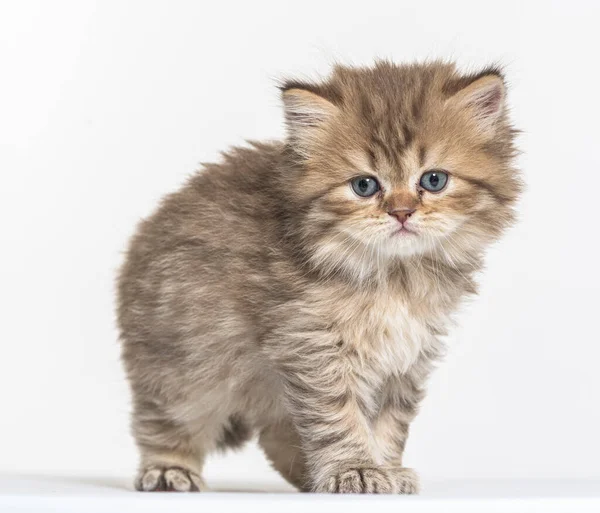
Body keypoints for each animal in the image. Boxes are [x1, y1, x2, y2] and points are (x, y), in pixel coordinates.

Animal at [116, 59, 520, 492]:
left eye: (434, 180)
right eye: (364, 185)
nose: (401, 212)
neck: (394, 276)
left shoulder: (407, 354)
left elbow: (389, 422)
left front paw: (385, 469)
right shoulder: (310, 344)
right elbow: (339, 416)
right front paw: (355, 469)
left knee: (273, 434)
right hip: (184, 362)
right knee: (166, 419)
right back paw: (169, 469)